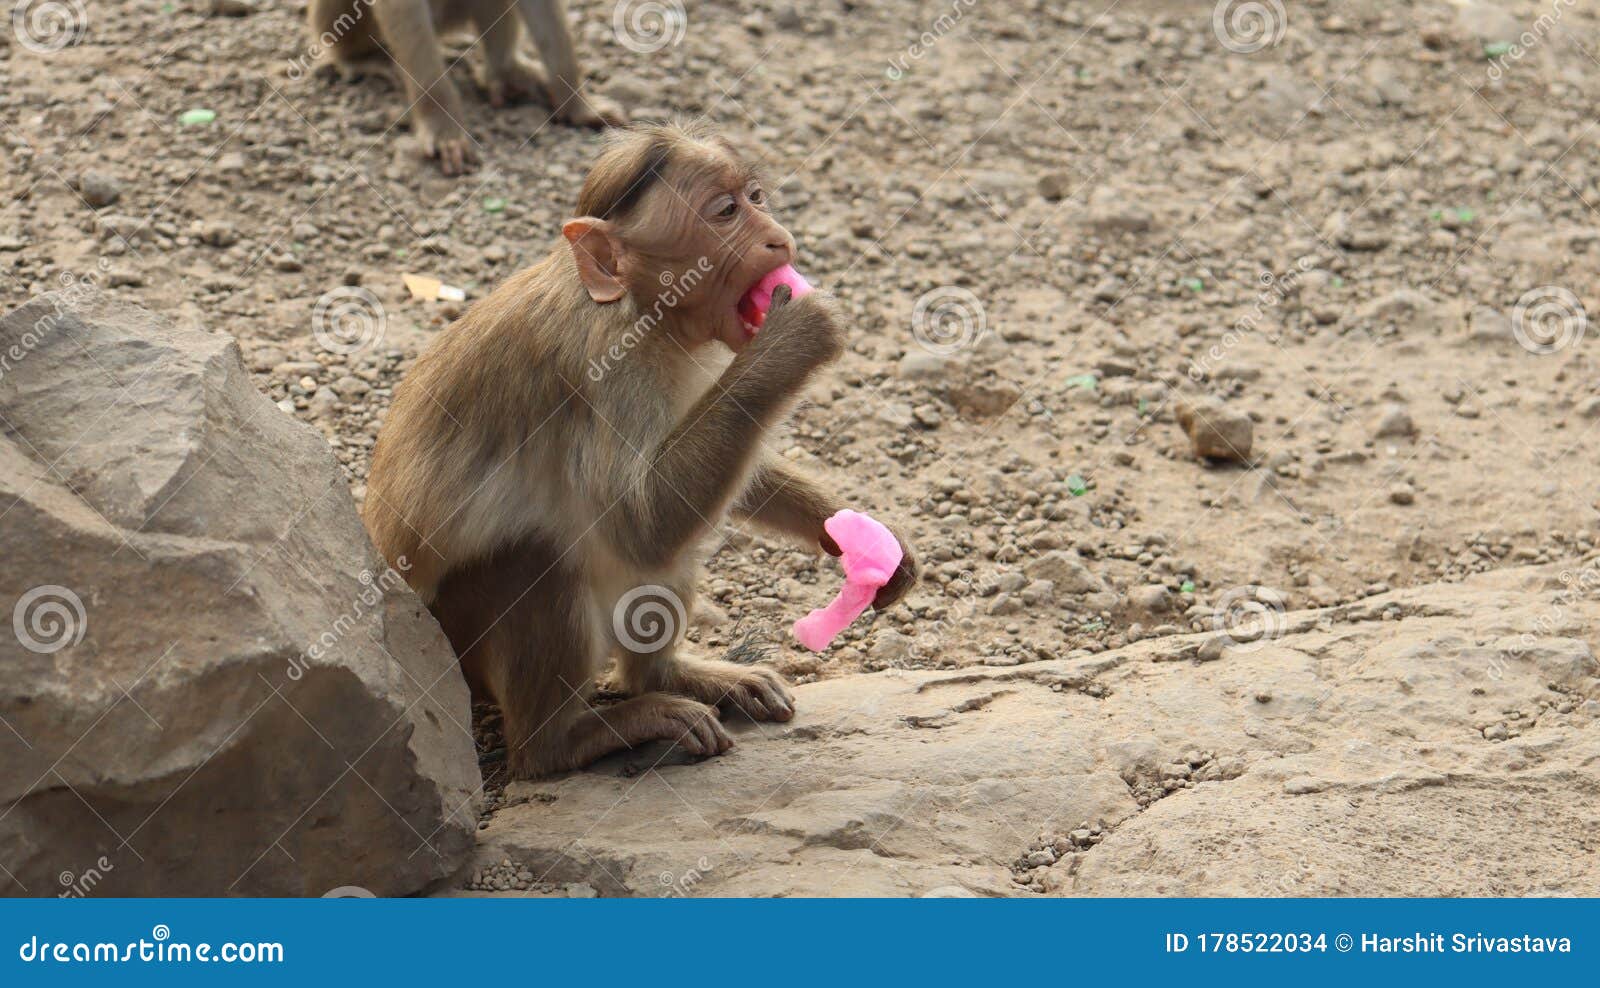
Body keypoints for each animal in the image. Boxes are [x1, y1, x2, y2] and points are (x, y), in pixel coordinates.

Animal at [363, 123, 919, 778]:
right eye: (726, 212)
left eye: (757, 196)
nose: (779, 237)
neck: (648, 313)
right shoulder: (605, 365)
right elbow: (643, 524)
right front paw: (796, 338)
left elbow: (728, 479)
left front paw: (847, 532)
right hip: (464, 647)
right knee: (536, 556)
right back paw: (567, 738)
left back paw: (670, 678)